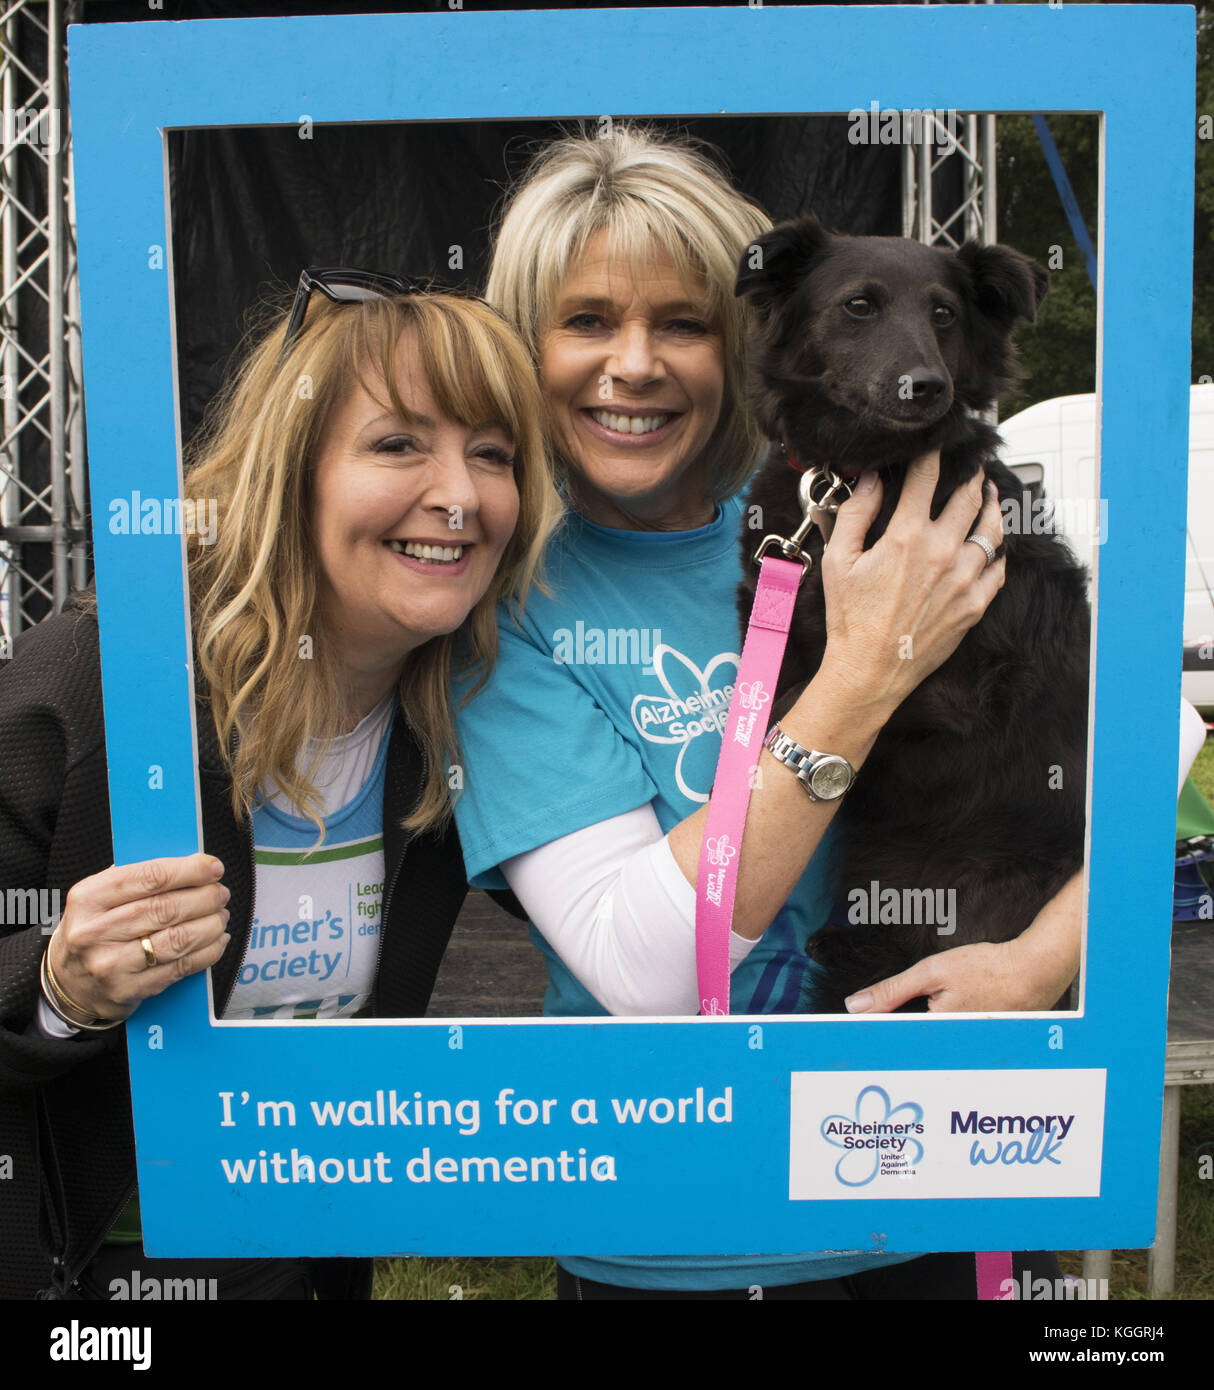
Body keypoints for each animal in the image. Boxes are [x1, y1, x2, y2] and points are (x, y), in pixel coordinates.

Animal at [728, 216, 1090, 1011]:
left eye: (944, 315)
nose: (926, 386)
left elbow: (801, 698)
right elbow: (786, 686)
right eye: (859, 306)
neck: (862, 474)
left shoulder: (957, 693)